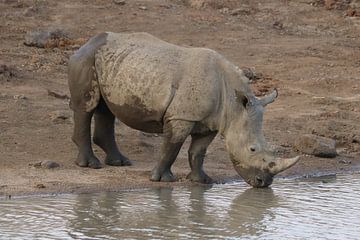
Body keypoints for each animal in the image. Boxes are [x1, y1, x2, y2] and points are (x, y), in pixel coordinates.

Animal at [67, 31, 298, 188]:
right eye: (252, 149)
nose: (263, 183)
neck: (233, 106)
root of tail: (88, 42)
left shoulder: (211, 121)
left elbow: (198, 151)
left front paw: (202, 181)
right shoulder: (182, 117)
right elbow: (172, 147)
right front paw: (162, 180)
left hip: (112, 62)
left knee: (106, 109)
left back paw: (119, 163)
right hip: (86, 59)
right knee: (86, 107)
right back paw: (91, 165)